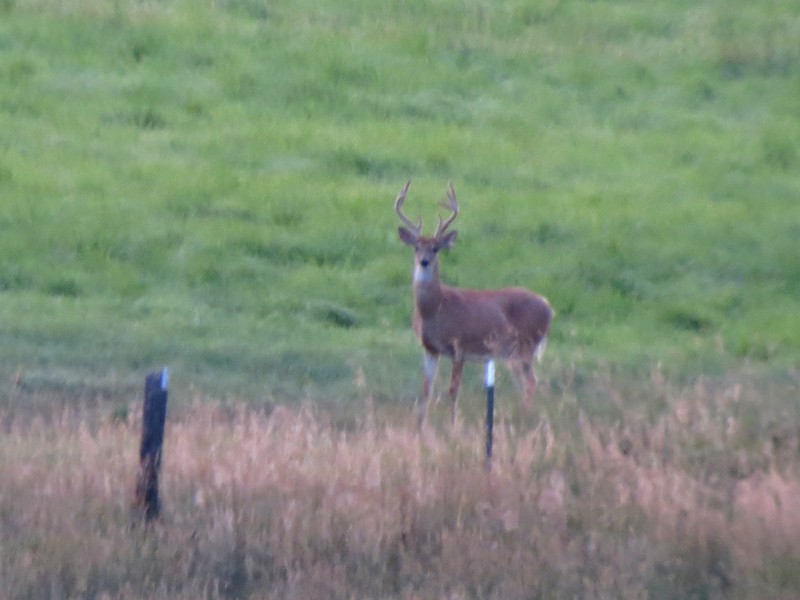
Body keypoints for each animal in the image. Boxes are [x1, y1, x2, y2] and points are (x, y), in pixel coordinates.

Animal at [396, 180, 556, 428]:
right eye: (416, 247)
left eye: (436, 248)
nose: (424, 262)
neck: (436, 308)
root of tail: (549, 307)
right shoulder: (430, 348)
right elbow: (426, 389)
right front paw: (421, 426)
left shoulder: (460, 345)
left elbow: (453, 390)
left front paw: (453, 425)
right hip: (514, 352)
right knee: (525, 383)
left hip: (525, 345)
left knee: (531, 382)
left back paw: (524, 418)